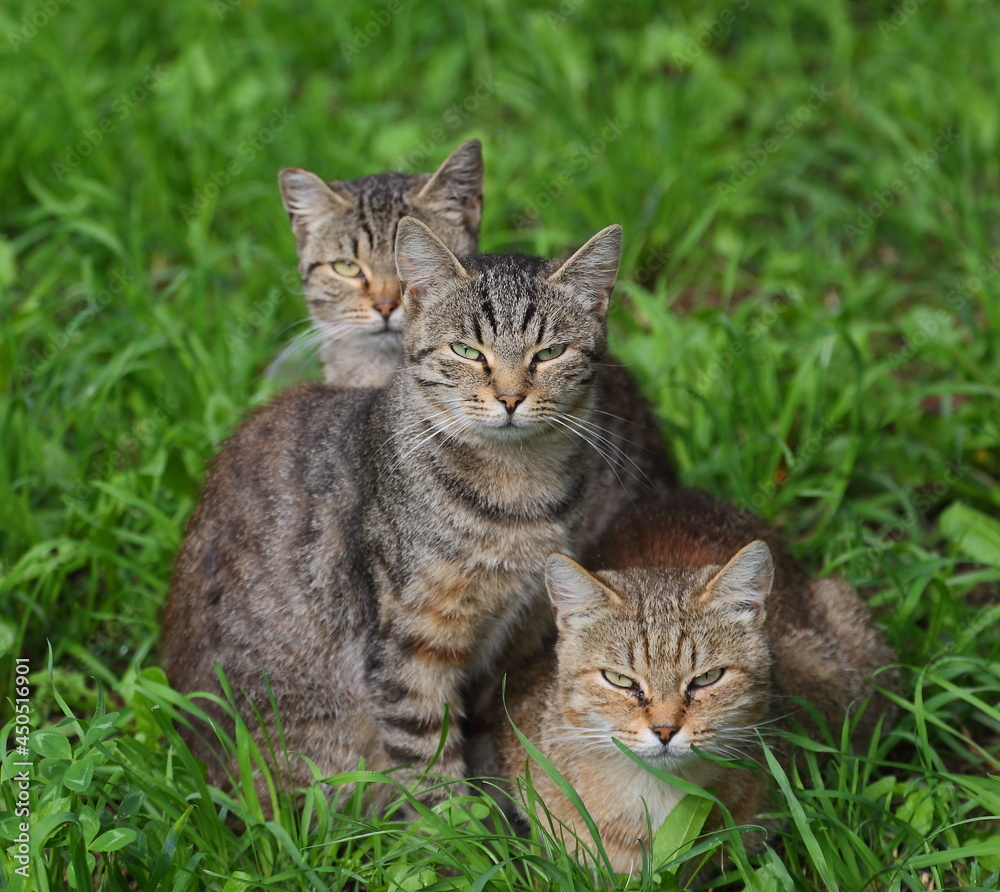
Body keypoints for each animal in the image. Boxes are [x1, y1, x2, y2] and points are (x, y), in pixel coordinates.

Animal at [167, 218, 628, 800]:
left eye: (549, 353)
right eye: (467, 350)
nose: (509, 399)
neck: (516, 492)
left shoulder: (516, 630)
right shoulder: (408, 650)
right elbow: (431, 767)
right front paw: (461, 824)